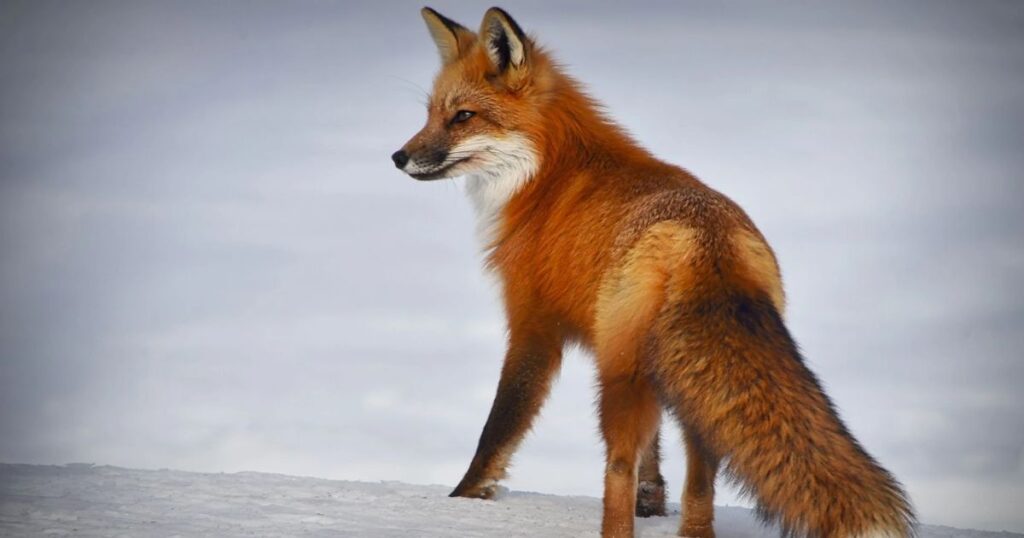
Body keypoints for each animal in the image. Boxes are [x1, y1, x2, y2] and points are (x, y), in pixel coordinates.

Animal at [392, 6, 916, 538]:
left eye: (463, 116)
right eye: (430, 114)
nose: (398, 157)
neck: (546, 177)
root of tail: (706, 239)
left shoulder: (534, 325)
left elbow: (499, 427)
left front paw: (461, 500)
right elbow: (655, 458)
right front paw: (654, 502)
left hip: (620, 375)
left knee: (617, 467)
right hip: (683, 384)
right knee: (700, 477)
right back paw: (692, 529)